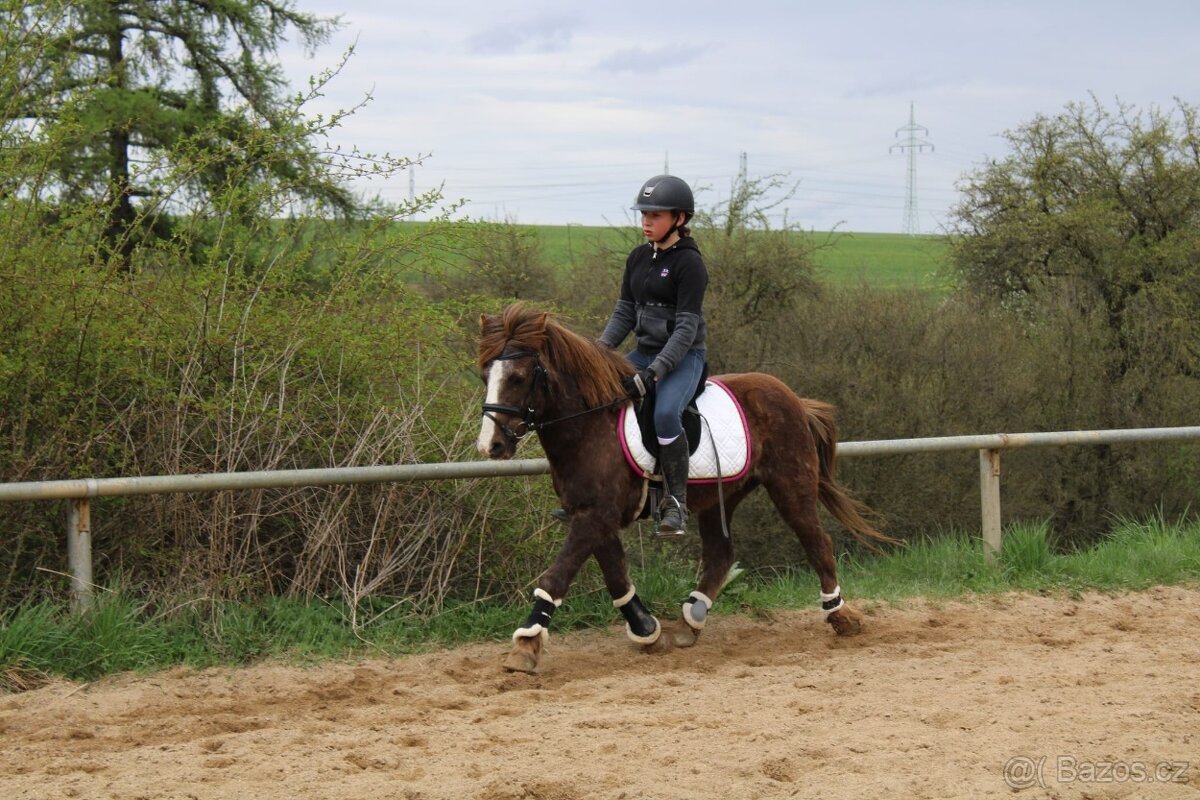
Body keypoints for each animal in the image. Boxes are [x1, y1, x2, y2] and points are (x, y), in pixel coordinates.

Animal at [476, 303, 892, 673]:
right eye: (485, 376)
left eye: (518, 377)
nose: (490, 446)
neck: (589, 426)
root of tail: (792, 397)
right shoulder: (592, 515)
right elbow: (616, 576)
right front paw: (648, 630)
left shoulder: (595, 516)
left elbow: (557, 576)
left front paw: (526, 645)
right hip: (721, 496)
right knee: (721, 555)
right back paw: (689, 622)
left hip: (790, 484)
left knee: (817, 542)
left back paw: (841, 616)